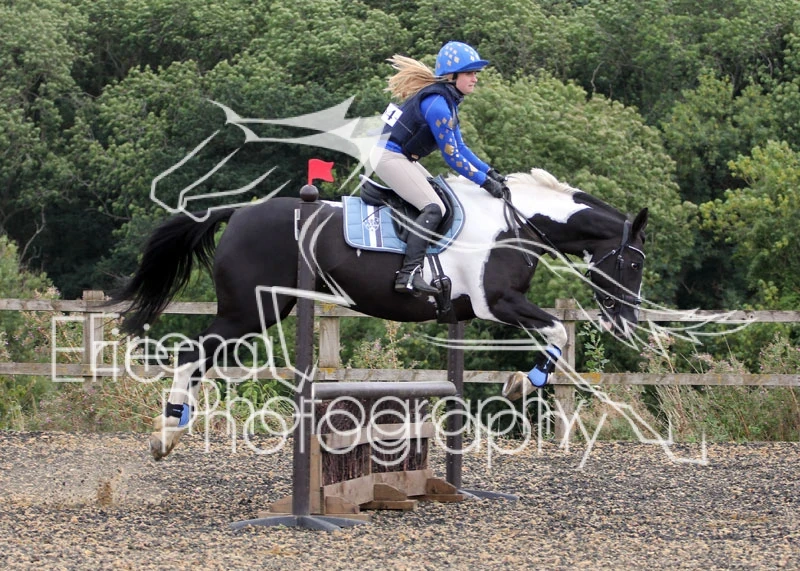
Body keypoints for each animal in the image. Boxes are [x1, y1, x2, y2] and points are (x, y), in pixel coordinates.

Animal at [113, 168, 648, 459]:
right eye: (633, 263)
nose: (626, 321)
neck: (514, 225)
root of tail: (238, 212)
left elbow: (552, 333)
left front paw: (521, 382)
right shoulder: (496, 303)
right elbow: (557, 329)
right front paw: (522, 383)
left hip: (259, 310)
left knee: (200, 359)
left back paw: (175, 426)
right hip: (250, 310)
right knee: (191, 355)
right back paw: (167, 434)